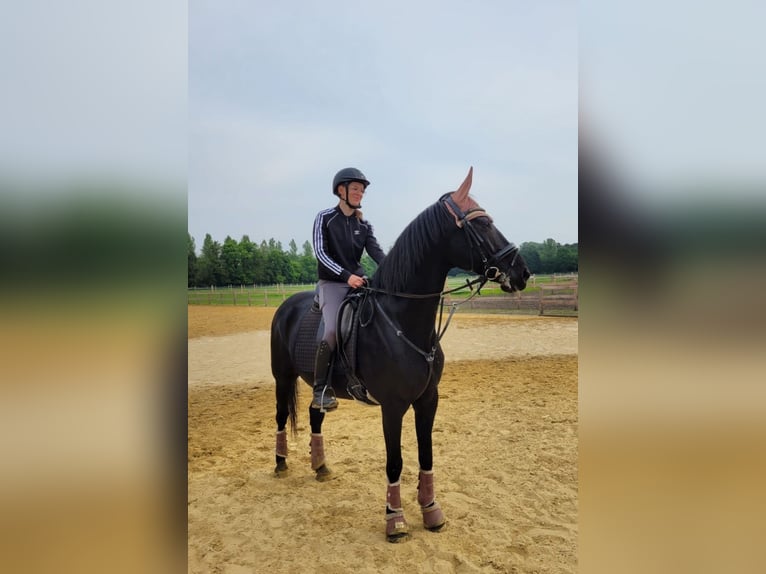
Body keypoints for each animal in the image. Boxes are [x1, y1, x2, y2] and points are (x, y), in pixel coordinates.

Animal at [270, 167, 530, 542]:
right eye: (482, 224)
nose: (522, 272)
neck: (400, 320)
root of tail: (286, 305)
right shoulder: (392, 406)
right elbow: (395, 462)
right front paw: (395, 520)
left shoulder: (428, 399)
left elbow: (426, 454)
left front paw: (431, 511)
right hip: (282, 377)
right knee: (280, 417)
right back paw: (280, 463)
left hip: (321, 389)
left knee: (315, 412)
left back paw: (321, 467)